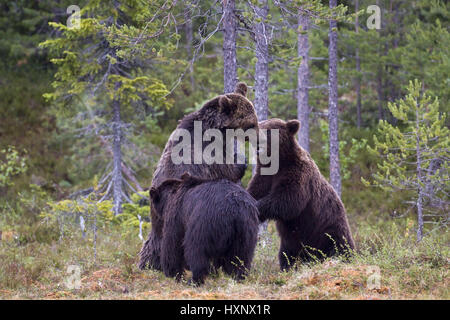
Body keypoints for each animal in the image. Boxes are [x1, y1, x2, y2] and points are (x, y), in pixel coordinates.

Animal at [137, 82, 258, 270]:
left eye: (255, 119)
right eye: (251, 123)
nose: (260, 136)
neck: (217, 128)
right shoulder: (208, 152)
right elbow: (226, 167)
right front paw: (241, 160)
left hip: (158, 219)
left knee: (153, 242)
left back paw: (148, 264)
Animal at [246, 118, 356, 270]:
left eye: (268, 130)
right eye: (258, 126)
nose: (254, 139)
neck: (279, 162)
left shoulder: (298, 174)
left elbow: (288, 200)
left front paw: (258, 206)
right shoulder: (264, 177)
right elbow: (255, 190)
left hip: (329, 228)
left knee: (340, 247)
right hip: (291, 242)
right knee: (286, 255)